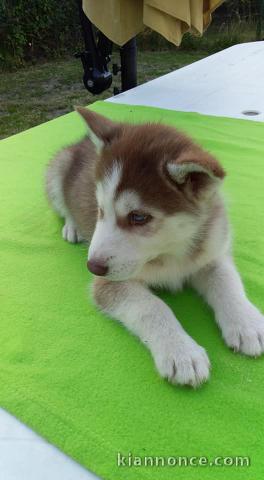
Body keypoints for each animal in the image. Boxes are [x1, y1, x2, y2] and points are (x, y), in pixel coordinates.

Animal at [45, 108, 264, 386]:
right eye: (100, 210)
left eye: (139, 217)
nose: (92, 266)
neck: (170, 251)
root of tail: (82, 141)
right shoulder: (108, 284)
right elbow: (152, 307)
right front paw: (181, 352)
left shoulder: (212, 251)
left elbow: (227, 282)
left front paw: (247, 322)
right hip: (57, 170)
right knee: (63, 205)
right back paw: (72, 227)